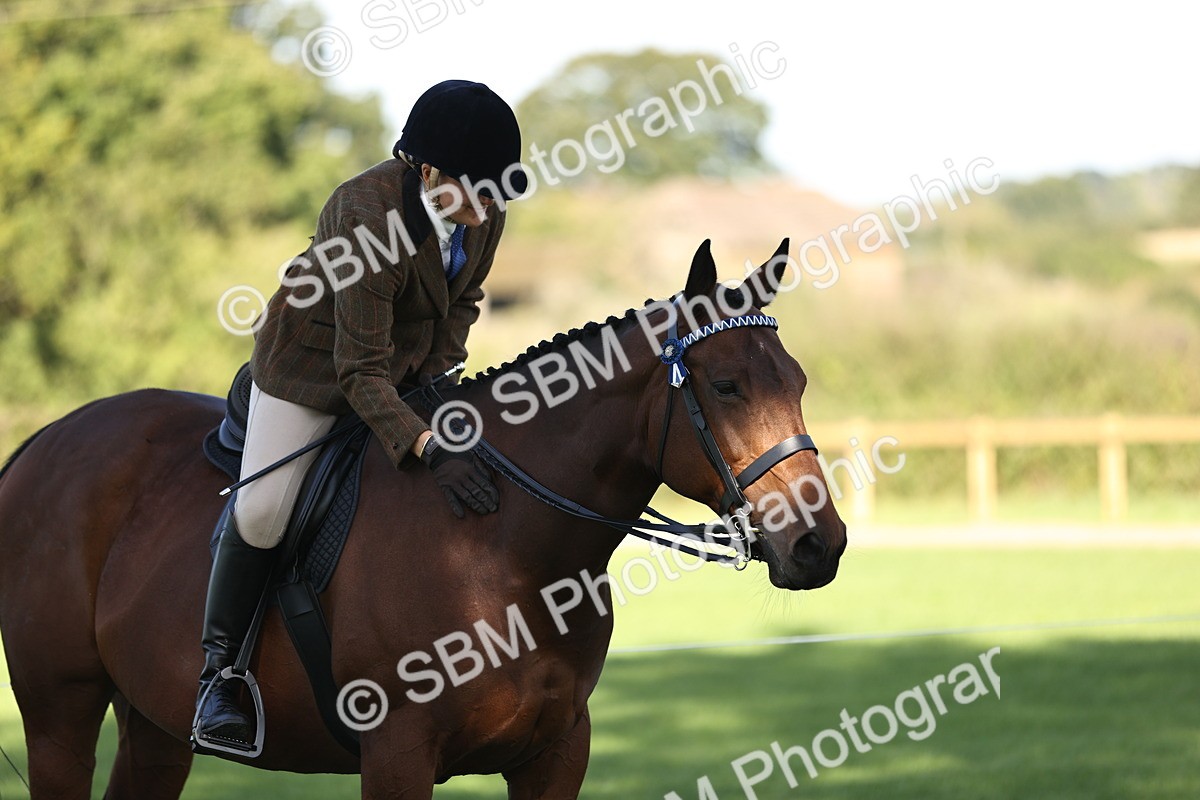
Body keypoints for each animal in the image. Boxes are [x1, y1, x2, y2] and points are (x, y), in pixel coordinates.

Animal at [0, 239, 846, 799]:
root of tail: (42, 441)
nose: (820, 544)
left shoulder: (555, 754)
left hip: (153, 722)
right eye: (728, 386)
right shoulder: (399, 754)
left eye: (800, 382)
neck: (507, 553)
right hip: (59, 717)